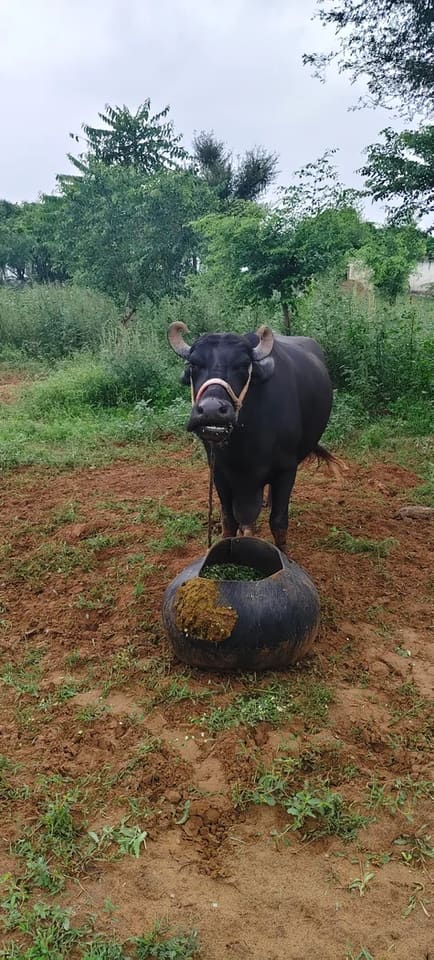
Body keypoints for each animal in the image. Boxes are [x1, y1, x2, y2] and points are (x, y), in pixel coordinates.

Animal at [168, 322, 338, 551]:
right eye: (194, 364)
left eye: (243, 365)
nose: (212, 410)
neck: (243, 448)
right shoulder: (219, 471)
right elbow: (229, 519)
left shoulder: (287, 470)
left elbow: (278, 522)